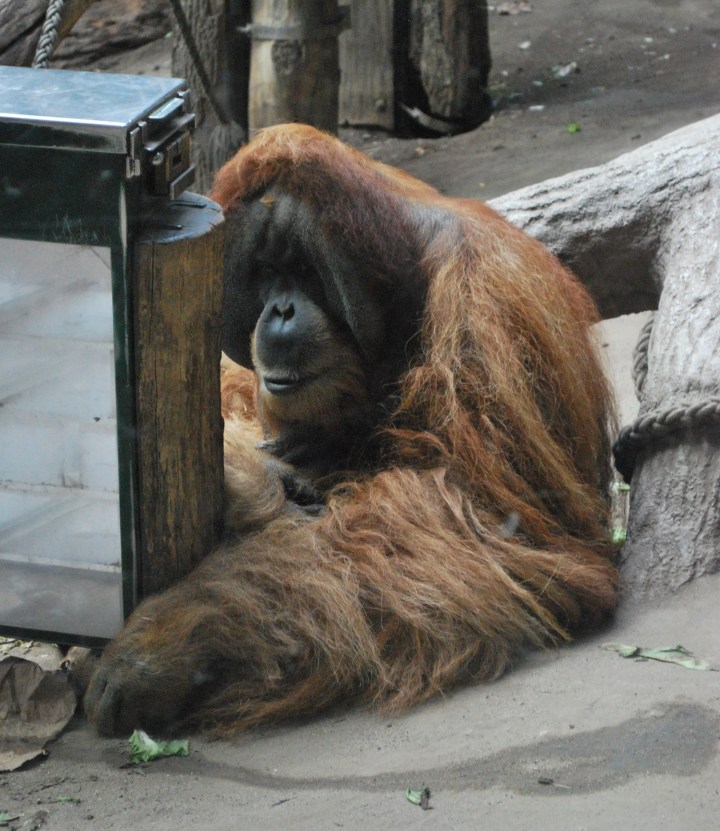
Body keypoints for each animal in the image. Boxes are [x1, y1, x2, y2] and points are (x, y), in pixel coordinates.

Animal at [85, 124, 618, 736]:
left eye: (304, 270)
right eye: (265, 273)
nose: (280, 311)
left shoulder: (486, 302)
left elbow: (486, 523)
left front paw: (165, 645)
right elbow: (230, 391)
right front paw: (263, 475)